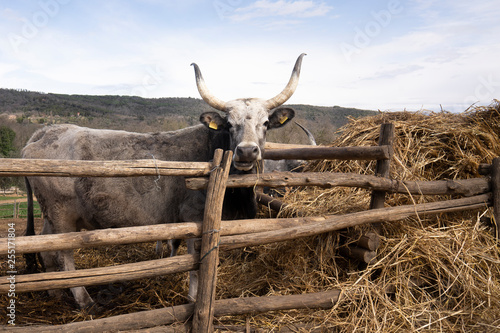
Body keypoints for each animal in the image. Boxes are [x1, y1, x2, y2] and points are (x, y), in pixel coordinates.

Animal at [23, 52, 306, 308]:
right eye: (228, 124)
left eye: (266, 123)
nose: (246, 151)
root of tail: (47, 131)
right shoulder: (195, 219)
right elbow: (195, 265)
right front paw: (193, 298)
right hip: (62, 216)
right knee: (64, 254)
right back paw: (84, 299)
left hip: (51, 216)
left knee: (46, 248)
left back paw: (54, 292)